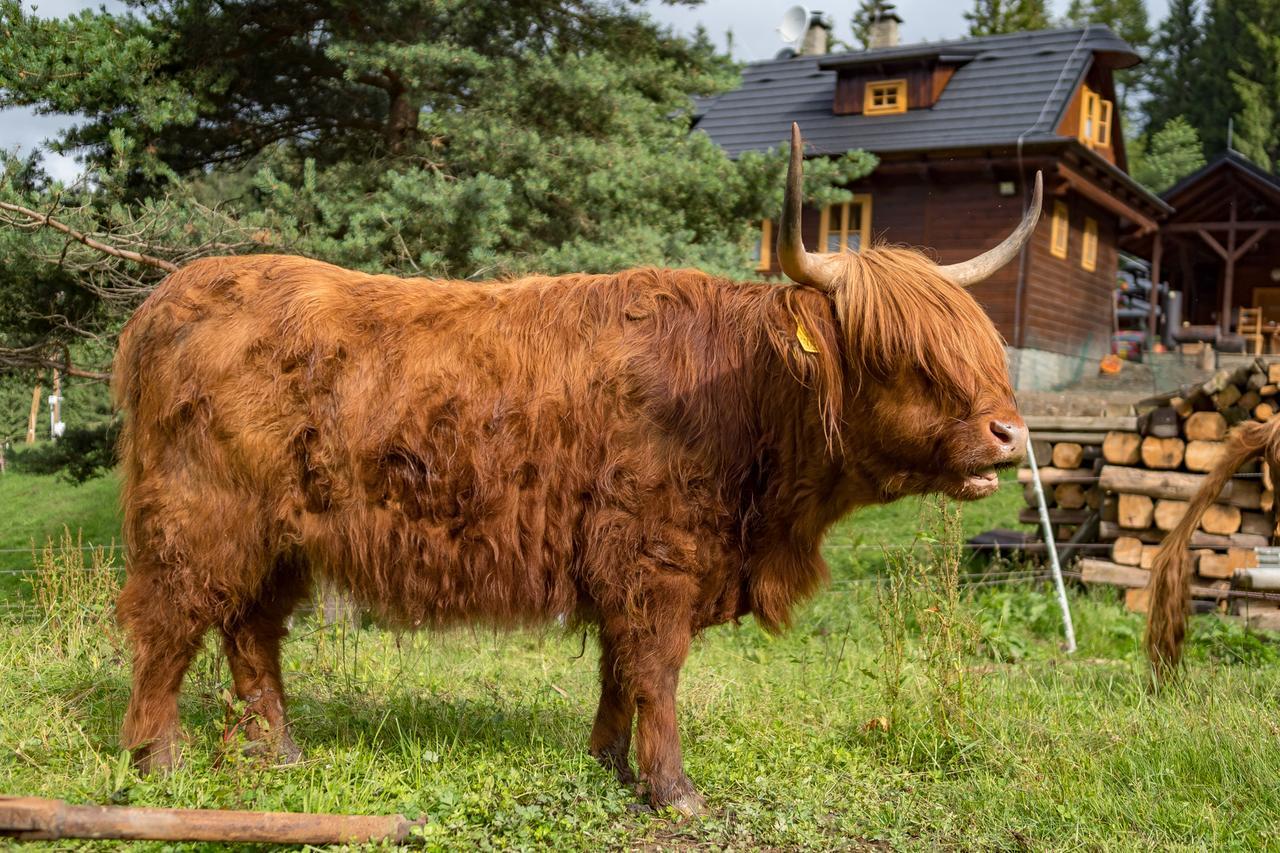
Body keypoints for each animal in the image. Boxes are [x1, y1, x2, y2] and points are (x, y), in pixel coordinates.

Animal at [115, 126, 1039, 809]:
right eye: (900, 356)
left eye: (978, 345)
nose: (1009, 433)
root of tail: (177, 292)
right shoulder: (655, 557)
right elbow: (656, 671)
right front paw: (673, 790)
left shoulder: (618, 560)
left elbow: (617, 672)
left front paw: (608, 765)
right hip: (200, 515)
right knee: (170, 623)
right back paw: (159, 758)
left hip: (277, 536)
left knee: (250, 632)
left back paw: (280, 752)